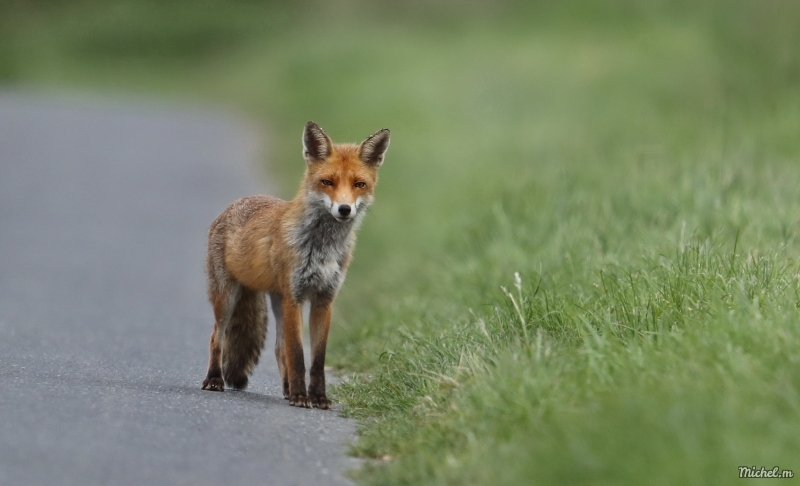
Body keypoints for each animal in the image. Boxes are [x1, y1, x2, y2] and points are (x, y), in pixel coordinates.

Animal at [200, 119, 388, 408]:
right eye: (327, 182)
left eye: (359, 184)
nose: (345, 209)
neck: (322, 248)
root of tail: (237, 202)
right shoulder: (295, 297)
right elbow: (298, 355)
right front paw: (302, 397)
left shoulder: (324, 300)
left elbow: (317, 360)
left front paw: (318, 397)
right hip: (228, 297)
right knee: (216, 337)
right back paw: (214, 379)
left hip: (276, 300)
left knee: (279, 349)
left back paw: (287, 388)